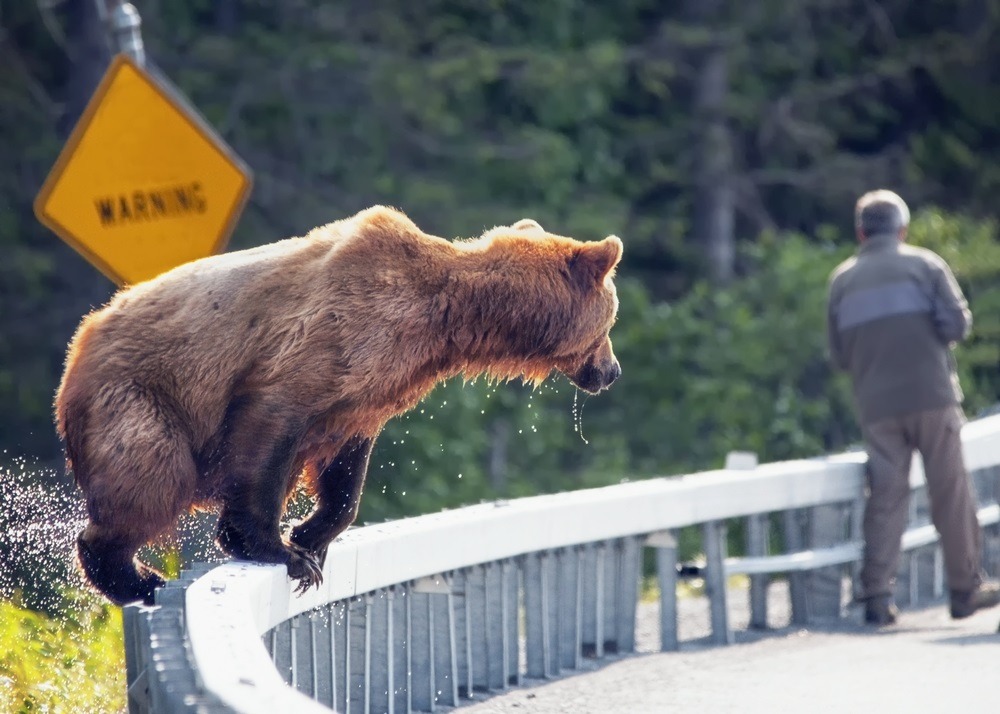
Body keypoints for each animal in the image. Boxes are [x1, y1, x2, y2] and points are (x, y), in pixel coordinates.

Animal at [55, 205, 623, 605]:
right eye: (611, 320)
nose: (612, 371)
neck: (443, 320)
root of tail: (76, 350)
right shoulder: (323, 341)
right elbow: (270, 426)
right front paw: (282, 551)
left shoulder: (370, 390)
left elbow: (345, 469)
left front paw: (312, 536)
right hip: (140, 398)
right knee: (151, 476)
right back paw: (139, 577)